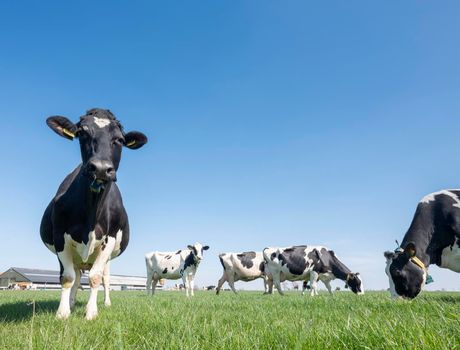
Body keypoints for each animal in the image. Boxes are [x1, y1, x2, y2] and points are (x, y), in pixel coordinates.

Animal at [40, 109, 147, 320]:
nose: (101, 168)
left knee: (105, 278)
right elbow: (67, 278)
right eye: (82, 133)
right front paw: (63, 312)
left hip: (106, 258)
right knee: (76, 276)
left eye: (119, 139)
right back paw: (72, 302)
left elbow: (96, 278)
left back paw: (105, 302)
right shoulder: (59, 237)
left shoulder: (110, 238)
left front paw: (91, 312)